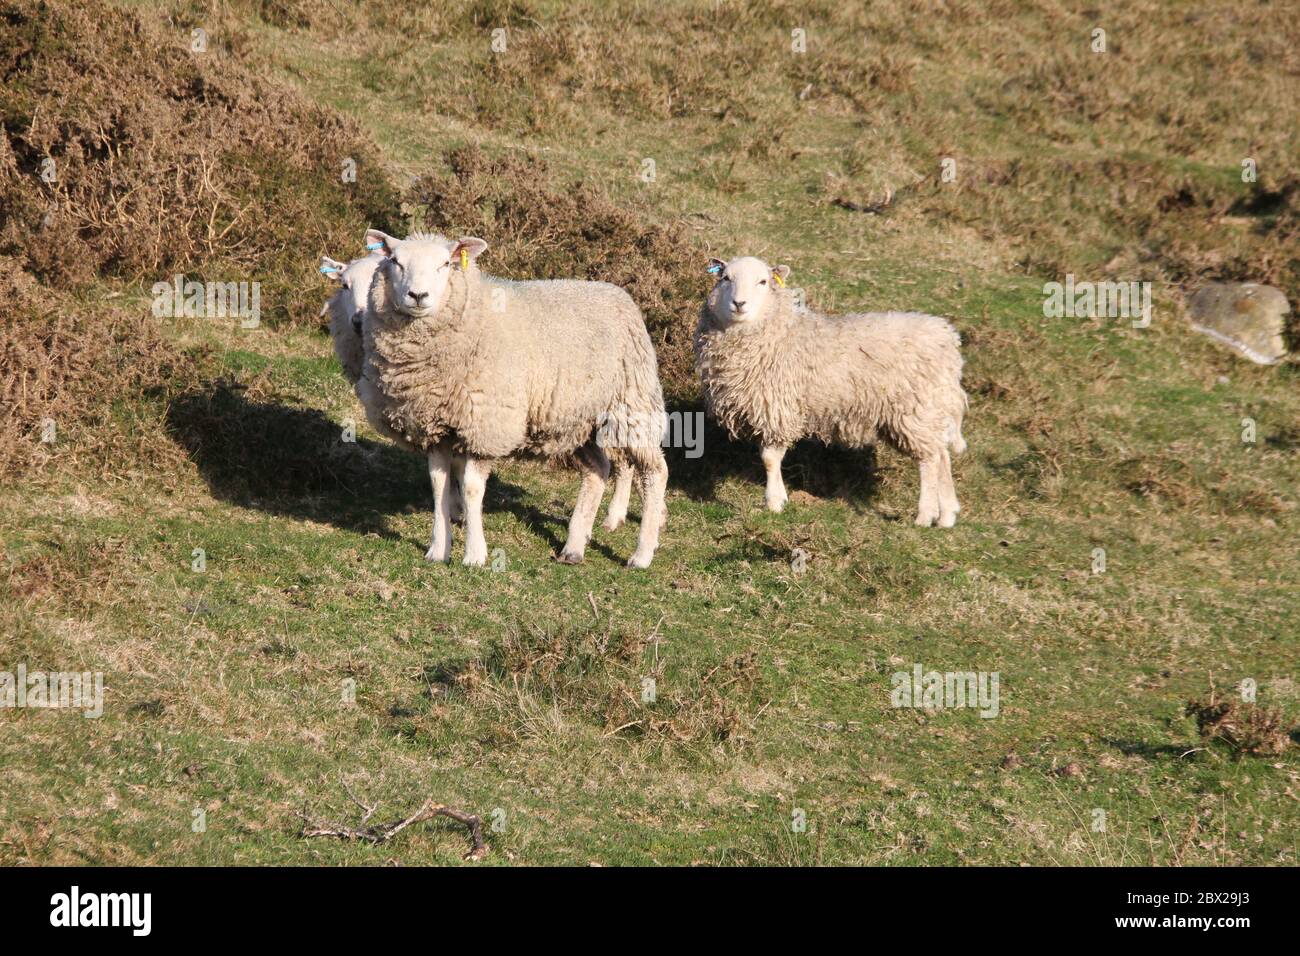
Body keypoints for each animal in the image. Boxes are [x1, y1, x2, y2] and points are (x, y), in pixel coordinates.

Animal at [357, 229, 669, 568]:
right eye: (395, 261)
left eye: (445, 264)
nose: (417, 295)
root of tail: (619, 294)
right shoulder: (435, 427)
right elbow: (438, 484)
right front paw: (438, 550)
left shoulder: (486, 424)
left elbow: (471, 489)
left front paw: (475, 555)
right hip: (575, 419)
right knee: (598, 470)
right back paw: (573, 547)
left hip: (631, 403)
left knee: (655, 473)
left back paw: (642, 553)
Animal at [694, 255, 967, 526]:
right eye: (725, 278)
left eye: (762, 281)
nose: (739, 303)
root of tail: (948, 339)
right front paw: (780, 498)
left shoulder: (779, 408)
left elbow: (770, 458)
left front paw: (774, 502)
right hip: (925, 410)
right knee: (941, 454)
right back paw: (947, 515)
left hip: (915, 408)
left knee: (930, 460)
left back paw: (925, 514)